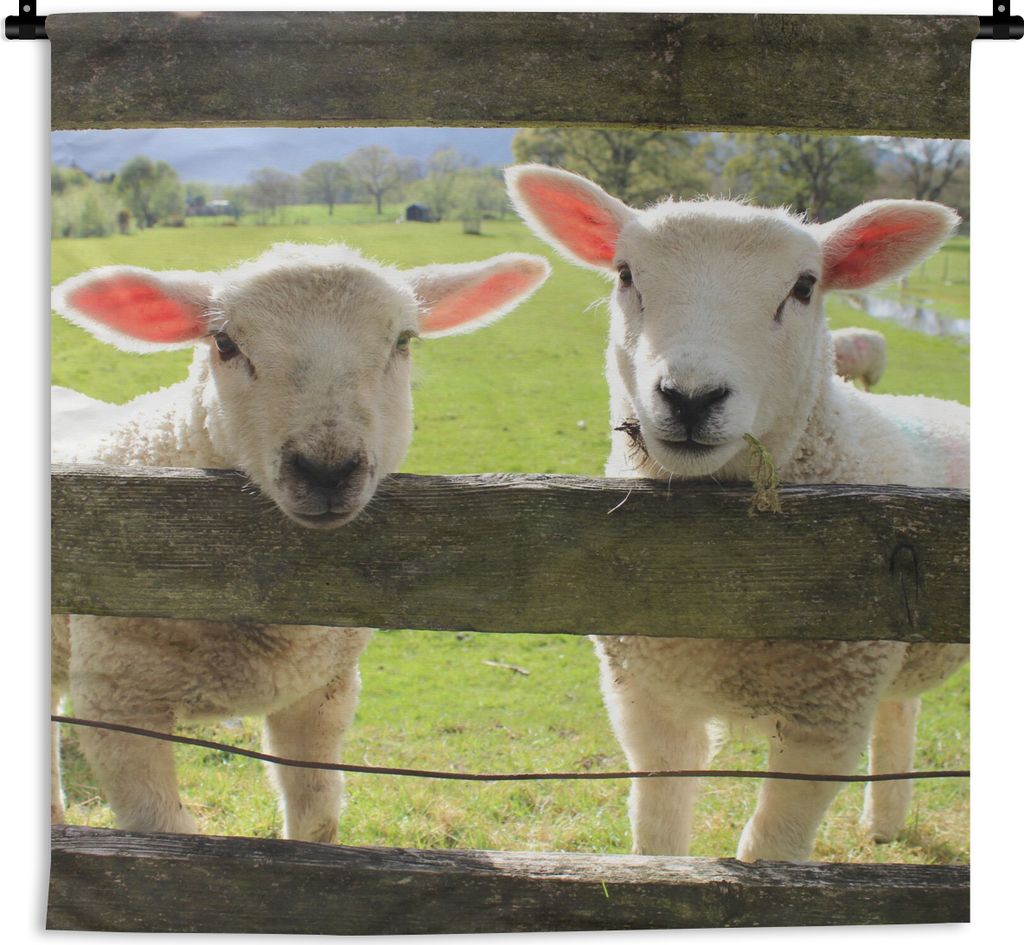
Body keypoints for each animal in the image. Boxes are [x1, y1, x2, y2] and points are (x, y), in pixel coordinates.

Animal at [50, 242, 550, 840]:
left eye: (403, 340)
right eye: (225, 342)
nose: (327, 470)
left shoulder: (322, 690)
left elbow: (317, 818)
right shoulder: (115, 705)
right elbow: (165, 831)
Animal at [507, 164, 968, 863]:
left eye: (804, 287)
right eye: (625, 274)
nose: (691, 398)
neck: (729, 570)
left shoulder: (827, 722)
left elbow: (770, 850)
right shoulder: (646, 701)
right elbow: (659, 833)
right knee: (901, 709)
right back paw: (883, 824)